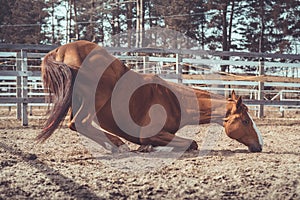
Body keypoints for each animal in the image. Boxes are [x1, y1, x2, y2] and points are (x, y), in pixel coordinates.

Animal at [37, 40, 262, 153]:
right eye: (245, 121)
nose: (259, 145)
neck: (174, 101)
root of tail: (59, 51)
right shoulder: (151, 134)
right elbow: (191, 143)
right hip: (94, 99)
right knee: (79, 123)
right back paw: (119, 145)